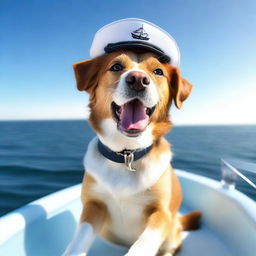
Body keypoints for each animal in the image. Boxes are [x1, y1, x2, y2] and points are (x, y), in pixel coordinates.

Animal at [62, 18, 200, 256]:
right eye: (116, 66)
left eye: (158, 71)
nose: (138, 79)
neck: (127, 153)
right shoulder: (93, 206)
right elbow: (79, 240)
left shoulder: (161, 214)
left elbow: (143, 244)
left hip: (173, 231)